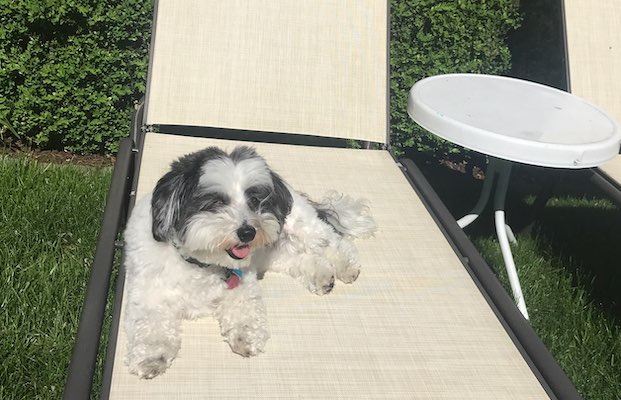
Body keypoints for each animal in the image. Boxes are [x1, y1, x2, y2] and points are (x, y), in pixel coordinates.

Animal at [121, 146, 372, 378]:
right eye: (216, 202)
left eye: (254, 200)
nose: (248, 232)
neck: (201, 264)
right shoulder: (147, 295)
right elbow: (150, 325)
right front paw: (151, 357)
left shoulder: (244, 284)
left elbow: (245, 310)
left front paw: (246, 336)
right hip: (273, 253)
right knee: (301, 258)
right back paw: (322, 276)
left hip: (300, 226)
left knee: (332, 241)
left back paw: (346, 266)